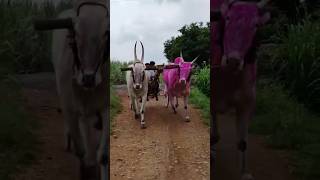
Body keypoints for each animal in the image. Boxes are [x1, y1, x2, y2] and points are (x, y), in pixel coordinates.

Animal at [211, 0, 272, 180]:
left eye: (256, 25)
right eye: (228, 18)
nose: (233, 61)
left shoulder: (247, 104)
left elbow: (243, 143)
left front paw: (244, 173)